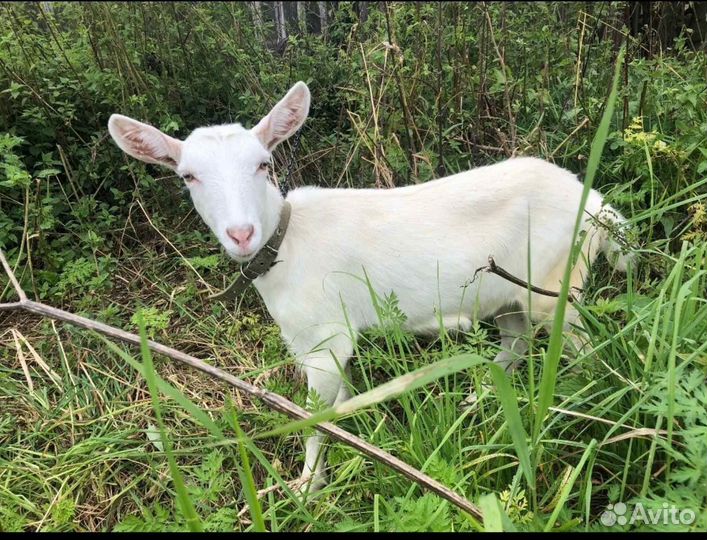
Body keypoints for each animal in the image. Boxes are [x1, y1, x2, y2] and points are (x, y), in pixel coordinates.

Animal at [107, 81, 631, 492]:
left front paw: (307, 486)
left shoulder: (326, 337)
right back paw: (480, 397)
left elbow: (315, 413)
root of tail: (598, 204)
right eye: (188, 176)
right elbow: (337, 404)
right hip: (507, 290)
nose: (241, 234)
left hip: (557, 279)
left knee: (581, 344)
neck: (286, 242)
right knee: (516, 339)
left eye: (262, 164)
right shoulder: (310, 341)